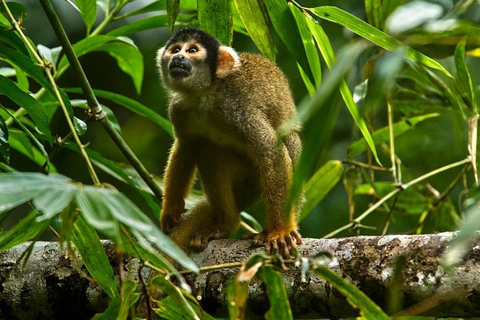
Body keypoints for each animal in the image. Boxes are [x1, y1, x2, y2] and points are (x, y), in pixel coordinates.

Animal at [156, 28, 302, 258]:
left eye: (192, 51)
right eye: (176, 50)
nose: (178, 58)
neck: (205, 93)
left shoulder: (238, 109)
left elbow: (271, 150)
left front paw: (279, 232)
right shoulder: (178, 108)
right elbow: (186, 146)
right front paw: (171, 210)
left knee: (288, 140)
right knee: (208, 149)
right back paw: (225, 224)